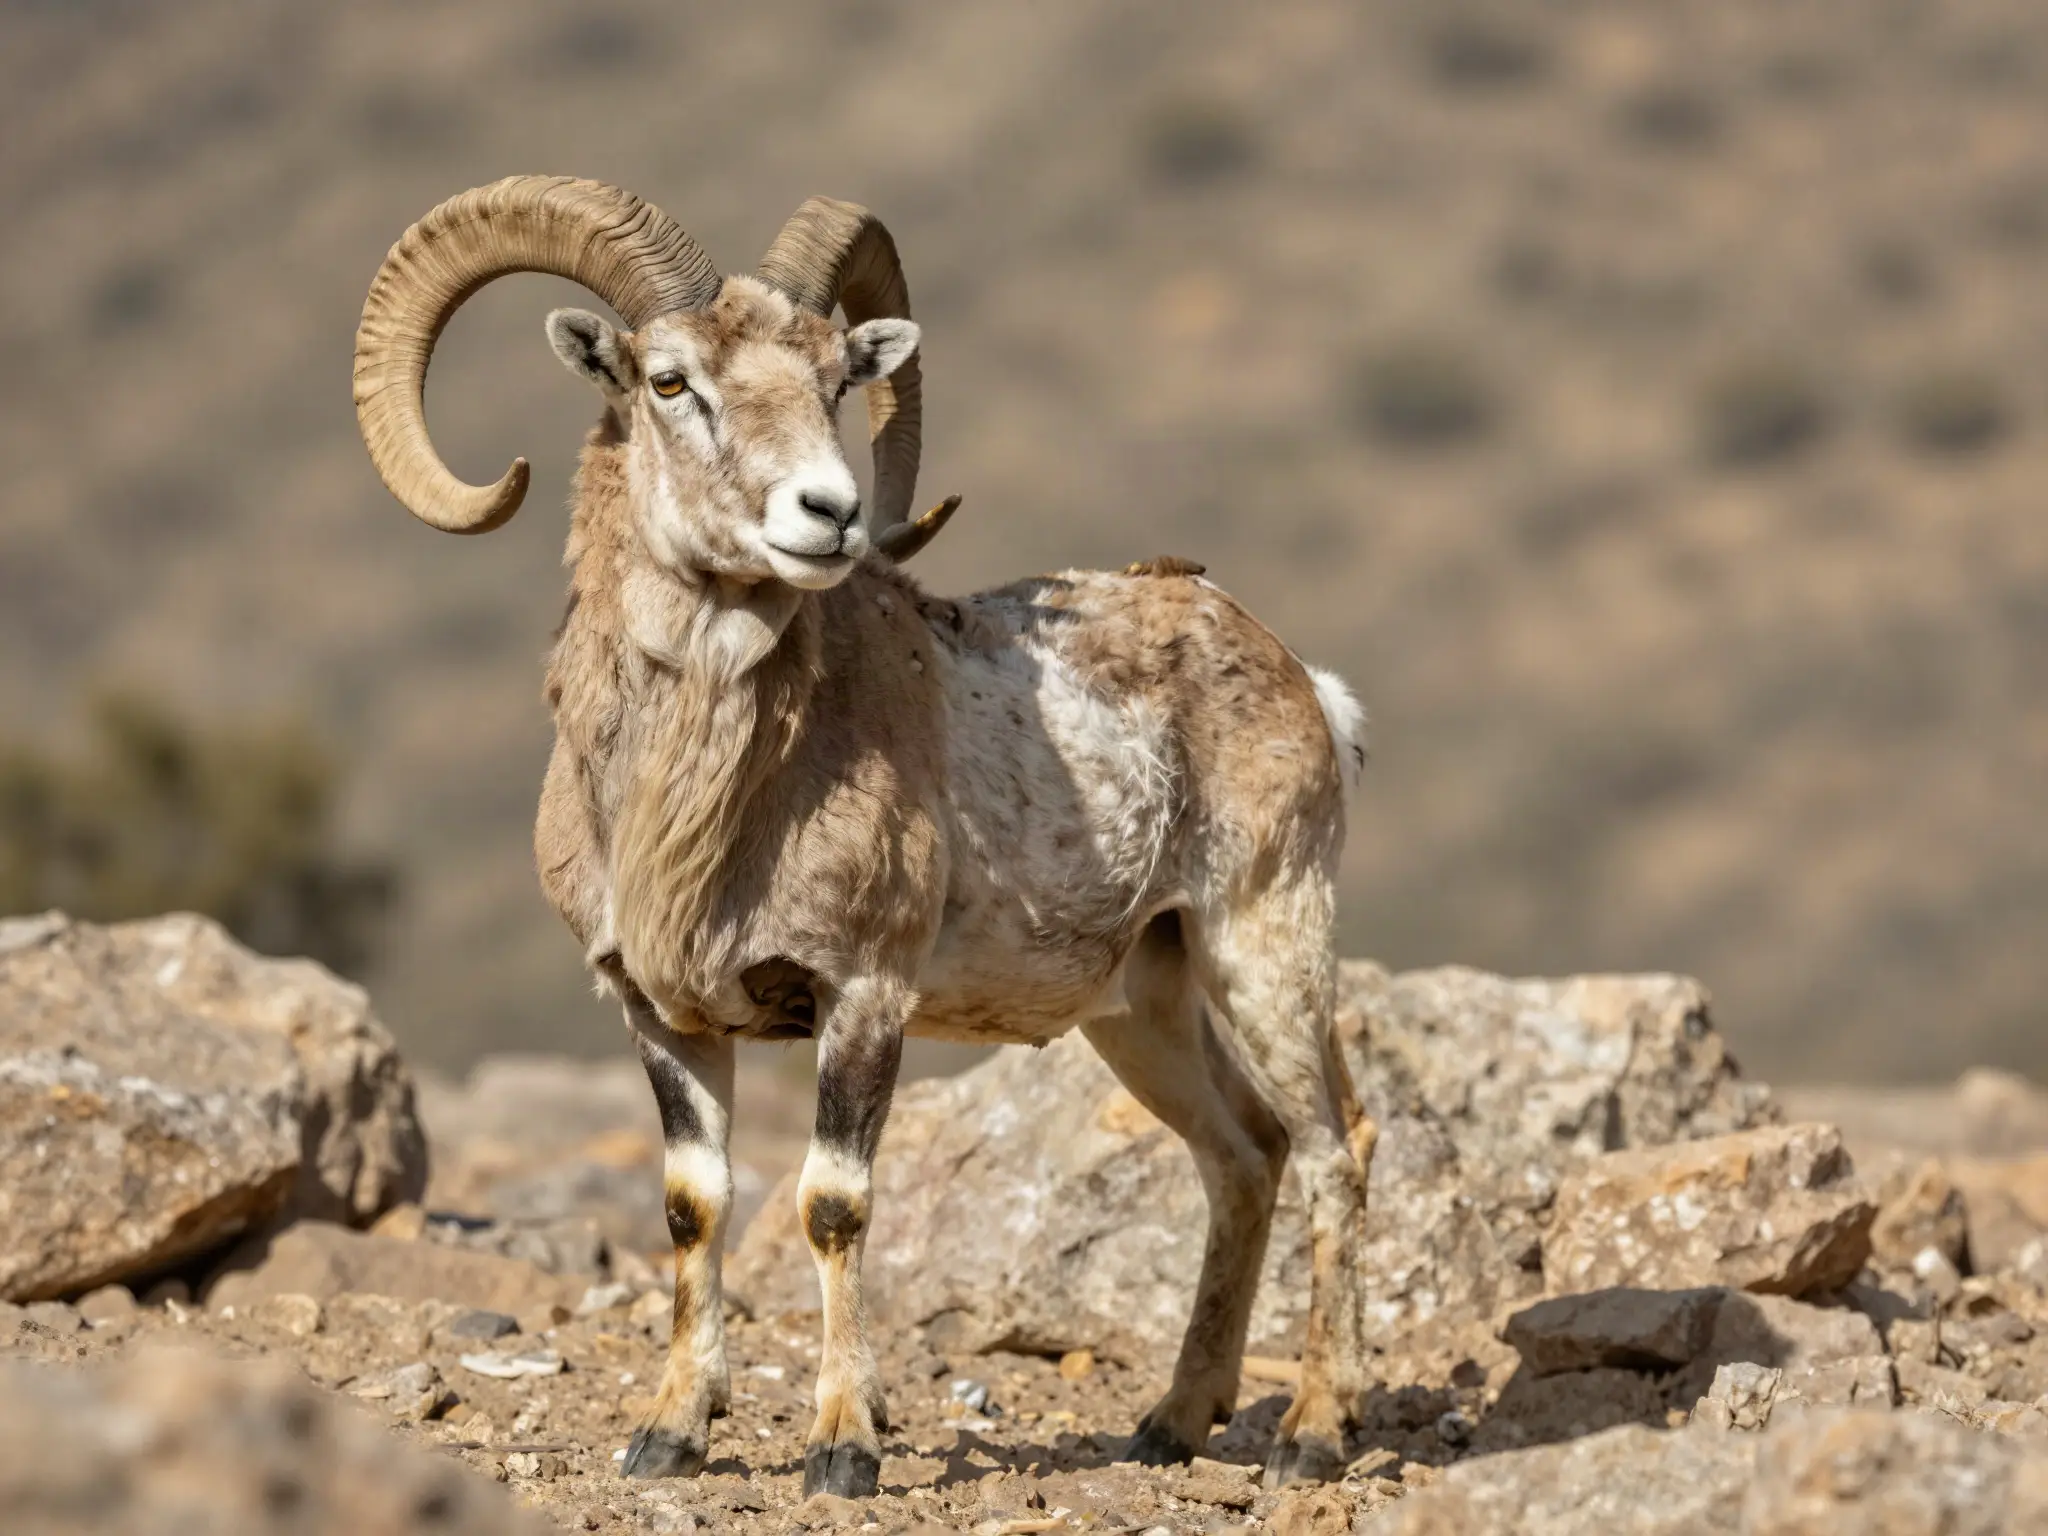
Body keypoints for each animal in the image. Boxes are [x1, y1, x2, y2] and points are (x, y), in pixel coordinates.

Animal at [354, 176, 1375, 1497]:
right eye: (670, 380)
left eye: (835, 377)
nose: (828, 515)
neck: (698, 808)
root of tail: (1301, 680)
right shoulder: (662, 1017)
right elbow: (694, 1205)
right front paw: (669, 1436)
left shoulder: (863, 999)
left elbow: (831, 1204)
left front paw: (841, 1448)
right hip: (1141, 1009)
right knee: (1242, 1157)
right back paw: (1169, 1424)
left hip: (1263, 948)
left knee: (1331, 1150)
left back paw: (1310, 1435)